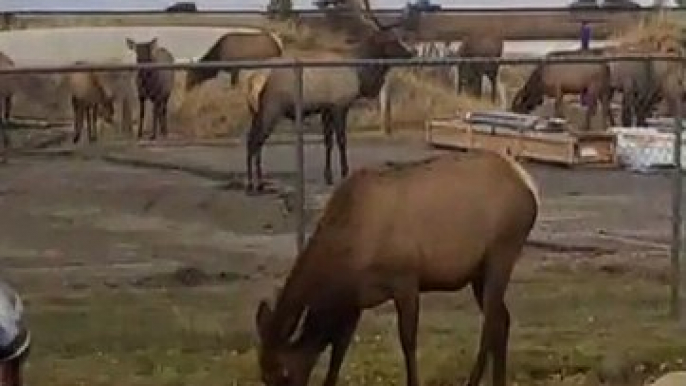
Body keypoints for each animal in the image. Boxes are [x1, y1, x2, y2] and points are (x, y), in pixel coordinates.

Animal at [255, 149, 540, 386]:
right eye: (263, 377)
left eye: (284, 374)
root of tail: (529, 186)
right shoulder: (354, 299)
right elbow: (339, 349)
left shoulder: (405, 278)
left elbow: (407, 341)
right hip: (477, 272)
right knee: (502, 320)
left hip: (502, 252)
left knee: (490, 323)